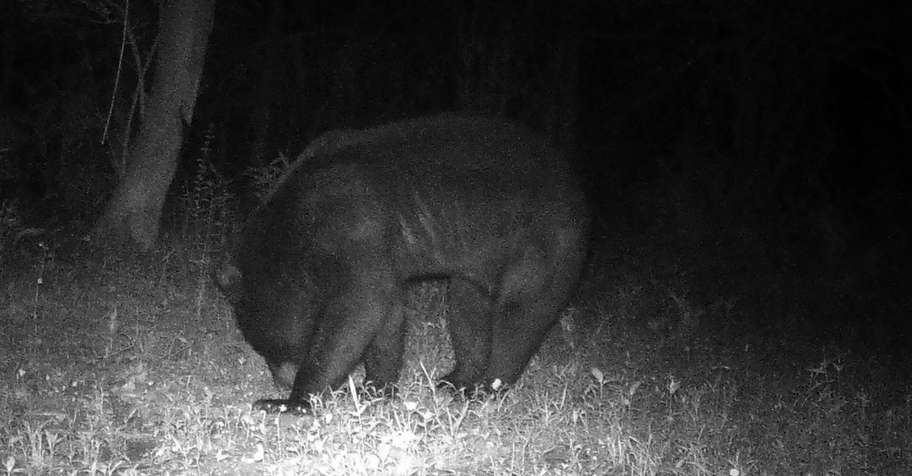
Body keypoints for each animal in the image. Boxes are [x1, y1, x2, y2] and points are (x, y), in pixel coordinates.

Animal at [216, 113, 589, 413]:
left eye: (267, 347)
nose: (280, 380)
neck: (295, 225)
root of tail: (577, 190)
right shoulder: (379, 249)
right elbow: (386, 316)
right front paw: (375, 389)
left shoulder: (355, 224)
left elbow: (359, 308)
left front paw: (292, 401)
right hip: (481, 262)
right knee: (467, 307)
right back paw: (456, 380)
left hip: (544, 241)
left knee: (519, 316)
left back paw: (486, 389)